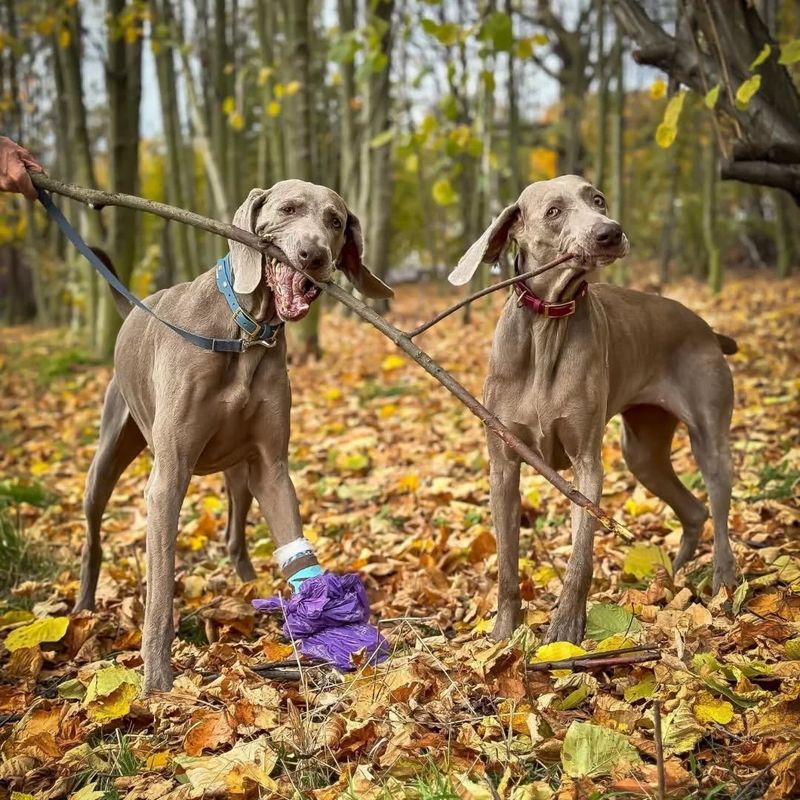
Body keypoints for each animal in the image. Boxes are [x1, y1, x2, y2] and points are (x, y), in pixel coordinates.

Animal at [73, 178, 392, 692]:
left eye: (336, 222)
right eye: (288, 209)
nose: (313, 255)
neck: (245, 331)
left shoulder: (271, 467)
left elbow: (294, 542)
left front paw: (330, 624)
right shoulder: (169, 476)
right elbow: (160, 587)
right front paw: (157, 679)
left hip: (239, 471)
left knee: (234, 532)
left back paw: (246, 584)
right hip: (107, 455)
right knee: (93, 533)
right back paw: (83, 607)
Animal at [450, 173, 736, 644]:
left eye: (598, 199)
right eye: (553, 211)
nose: (610, 232)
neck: (547, 323)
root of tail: (707, 328)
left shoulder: (586, 462)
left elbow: (581, 556)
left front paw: (565, 630)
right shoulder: (503, 464)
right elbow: (507, 564)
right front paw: (503, 634)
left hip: (708, 437)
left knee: (718, 507)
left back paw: (724, 581)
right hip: (643, 453)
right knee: (693, 510)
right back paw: (671, 579)